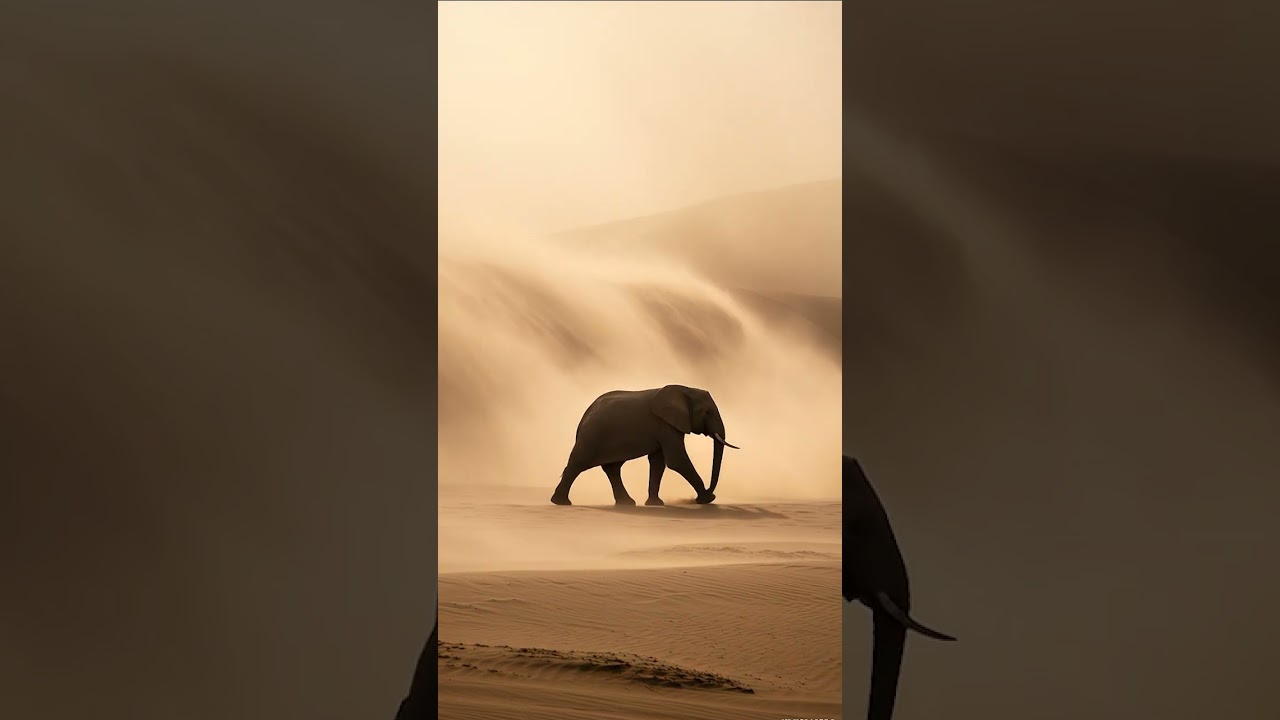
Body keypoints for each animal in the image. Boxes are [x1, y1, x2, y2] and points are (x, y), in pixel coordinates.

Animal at [550, 384, 740, 506]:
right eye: (707, 412)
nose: (710, 492)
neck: (685, 389)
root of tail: (584, 415)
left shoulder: (665, 426)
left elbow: (658, 462)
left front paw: (656, 504)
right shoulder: (665, 424)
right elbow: (676, 460)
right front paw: (707, 499)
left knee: (612, 468)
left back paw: (626, 504)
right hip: (592, 435)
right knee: (577, 464)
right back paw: (561, 503)